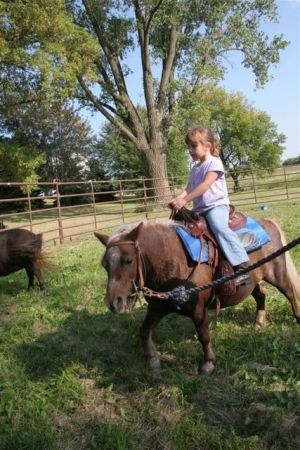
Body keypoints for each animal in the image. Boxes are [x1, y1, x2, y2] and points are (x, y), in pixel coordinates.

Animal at [95, 220, 300, 374]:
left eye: (128, 260)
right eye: (105, 264)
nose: (114, 302)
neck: (172, 259)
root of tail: (267, 223)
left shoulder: (199, 310)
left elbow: (204, 336)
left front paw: (208, 364)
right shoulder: (157, 308)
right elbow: (144, 331)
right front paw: (153, 359)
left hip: (276, 274)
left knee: (290, 293)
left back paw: (297, 318)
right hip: (252, 282)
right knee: (261, 296)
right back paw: (258, 323)